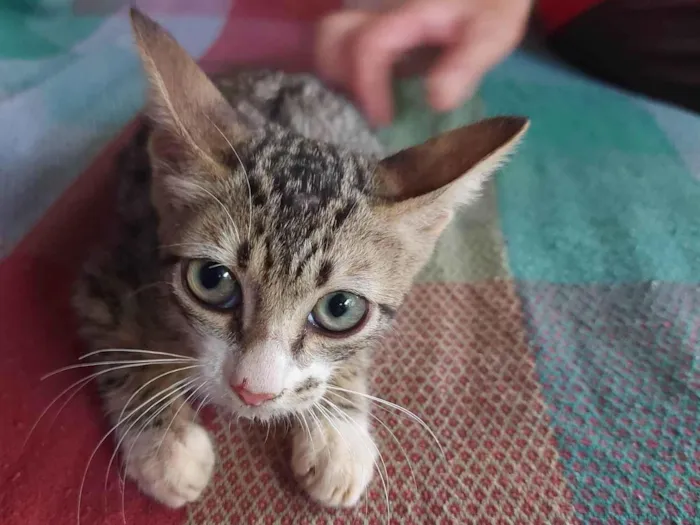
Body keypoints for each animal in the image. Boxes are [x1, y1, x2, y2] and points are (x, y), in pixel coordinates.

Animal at [72, 7, 532, 508]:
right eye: (212, 280)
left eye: (340, 309)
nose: (253, 392)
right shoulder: (108, 270)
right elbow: (123, 350)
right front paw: (166, 444)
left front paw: (339, 433)